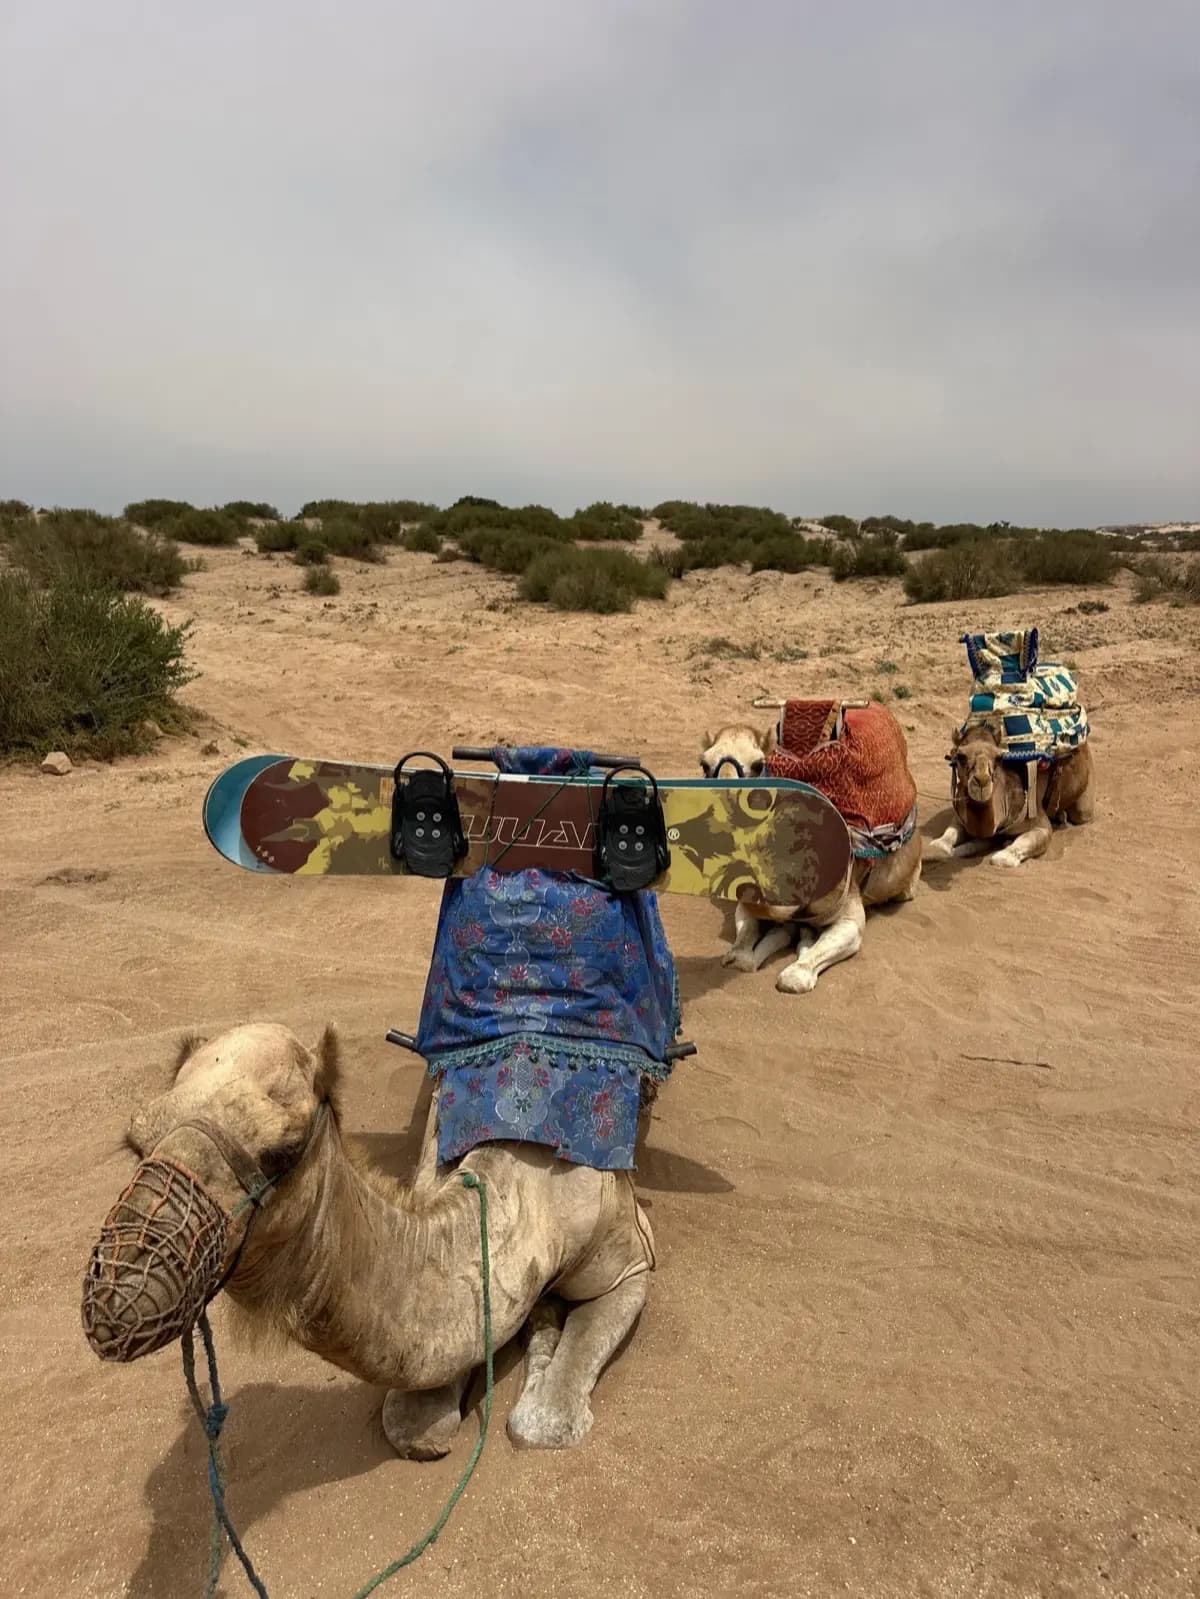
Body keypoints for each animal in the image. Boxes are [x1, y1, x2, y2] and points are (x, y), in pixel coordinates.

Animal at [83, 1022, 656, 1456]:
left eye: (282, 1151)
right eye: (135, 1145)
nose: (118, 1296)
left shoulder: (627, 1259)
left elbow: (543, 1422)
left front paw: (544, 1329)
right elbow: (412, 1423)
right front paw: (539, 1322)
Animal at [699, 723, 921, 993]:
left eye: (758, 764)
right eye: (704, 764)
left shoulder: (850, 914)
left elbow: (794, 977)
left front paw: (802, 949)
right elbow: (742, 955)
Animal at [927, 724, 1095, 868]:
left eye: (999, 757)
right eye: (960, 756)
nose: (982, 781)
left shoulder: (1038, 820)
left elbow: (1003, 856)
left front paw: (1006, 849)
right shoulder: (962, 815)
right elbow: (947, 838)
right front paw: (944, 849)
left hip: (1083, 805)